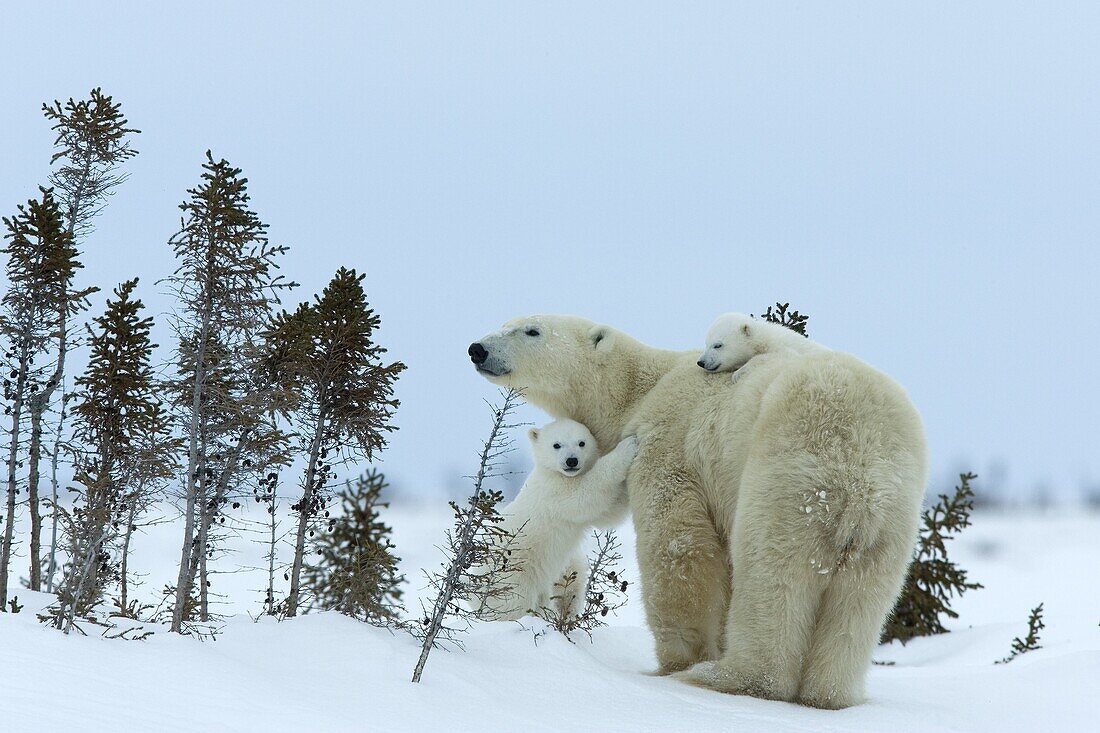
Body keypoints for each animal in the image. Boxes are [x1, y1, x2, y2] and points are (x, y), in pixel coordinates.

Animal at [479, 420, 638, 620]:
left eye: (581, 442)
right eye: (556, 445)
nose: (571, 461)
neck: (552, 472)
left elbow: (610, 512)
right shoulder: (553, 492)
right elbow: (585, 493)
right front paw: (628, 445)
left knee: (571, 582)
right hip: (512, 576)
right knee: (514, 604)